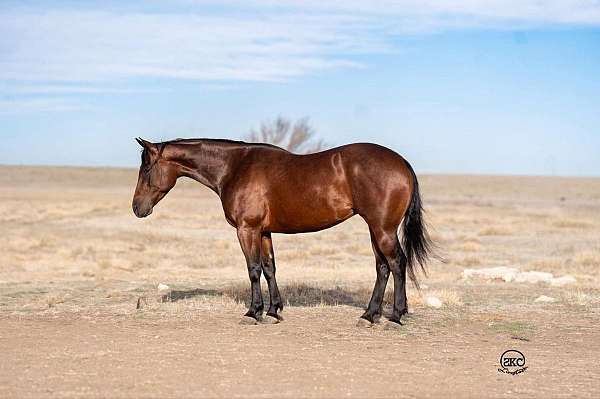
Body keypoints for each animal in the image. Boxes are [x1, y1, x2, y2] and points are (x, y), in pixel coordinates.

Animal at [132, 139, 432, 326]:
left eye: (146, 168)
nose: (136, 208)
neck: (234, 167)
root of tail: (402, 163)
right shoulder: (264, 232)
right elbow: (269, 268)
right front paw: (274, 310)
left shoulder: (247, 229)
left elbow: (253, 269)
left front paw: (253, 312)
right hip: (374, 229)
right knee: (382, 267)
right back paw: (369, 315)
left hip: (382, 229)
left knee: (397, 263)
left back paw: (395, 316)